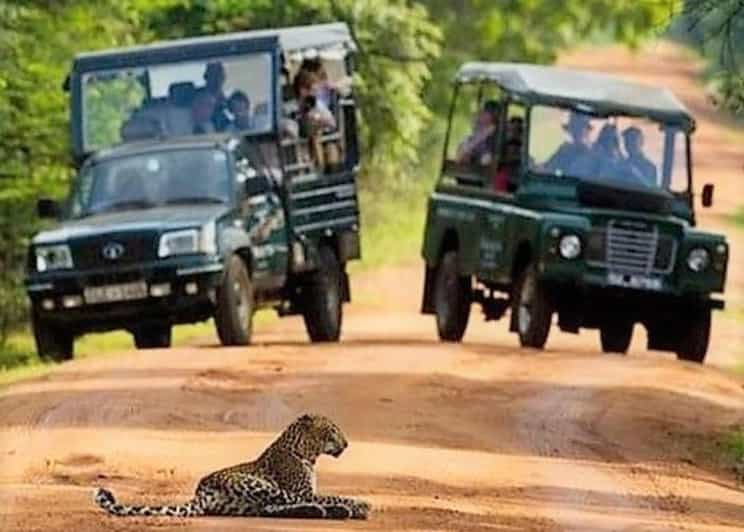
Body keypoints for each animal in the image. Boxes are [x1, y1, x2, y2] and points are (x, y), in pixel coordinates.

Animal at [94, 412, 370, 520]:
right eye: (333, 430)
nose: (347, 444)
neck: (307, 453)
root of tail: (200, 491)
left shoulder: (306, 491)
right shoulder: (303, 491)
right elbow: (332, 495)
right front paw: (359, 503)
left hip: (246, 503)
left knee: (270, 509)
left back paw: (326, 512)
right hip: (257, 486)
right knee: (283, 503)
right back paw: (340, 511)